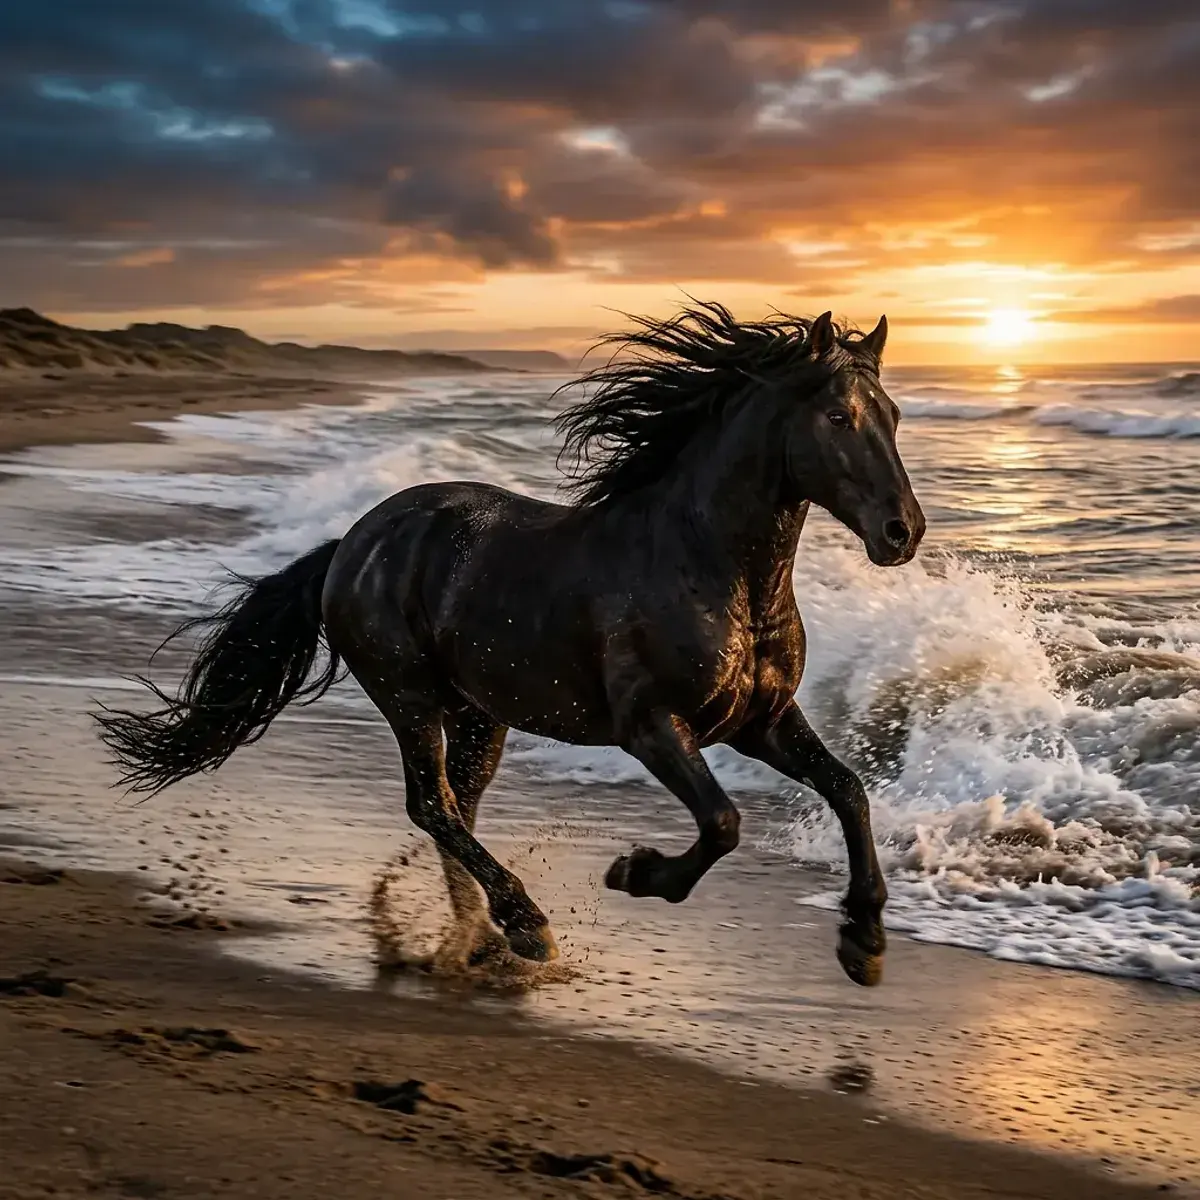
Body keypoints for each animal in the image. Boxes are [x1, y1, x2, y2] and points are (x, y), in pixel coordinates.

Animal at [96, 302, 925, 987]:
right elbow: (723, 822)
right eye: (839, 417)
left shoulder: (761, 722)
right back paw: (526, 928)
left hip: (478, 713)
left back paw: (483, 938)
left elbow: (848, 789)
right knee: (431, 805)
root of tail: (352, 543)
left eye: (893, 414)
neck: (714, 571)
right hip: (408, 696)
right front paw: (635, 873)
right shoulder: (653, 727)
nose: (903, 532)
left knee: (456, 808)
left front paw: (865, 943)